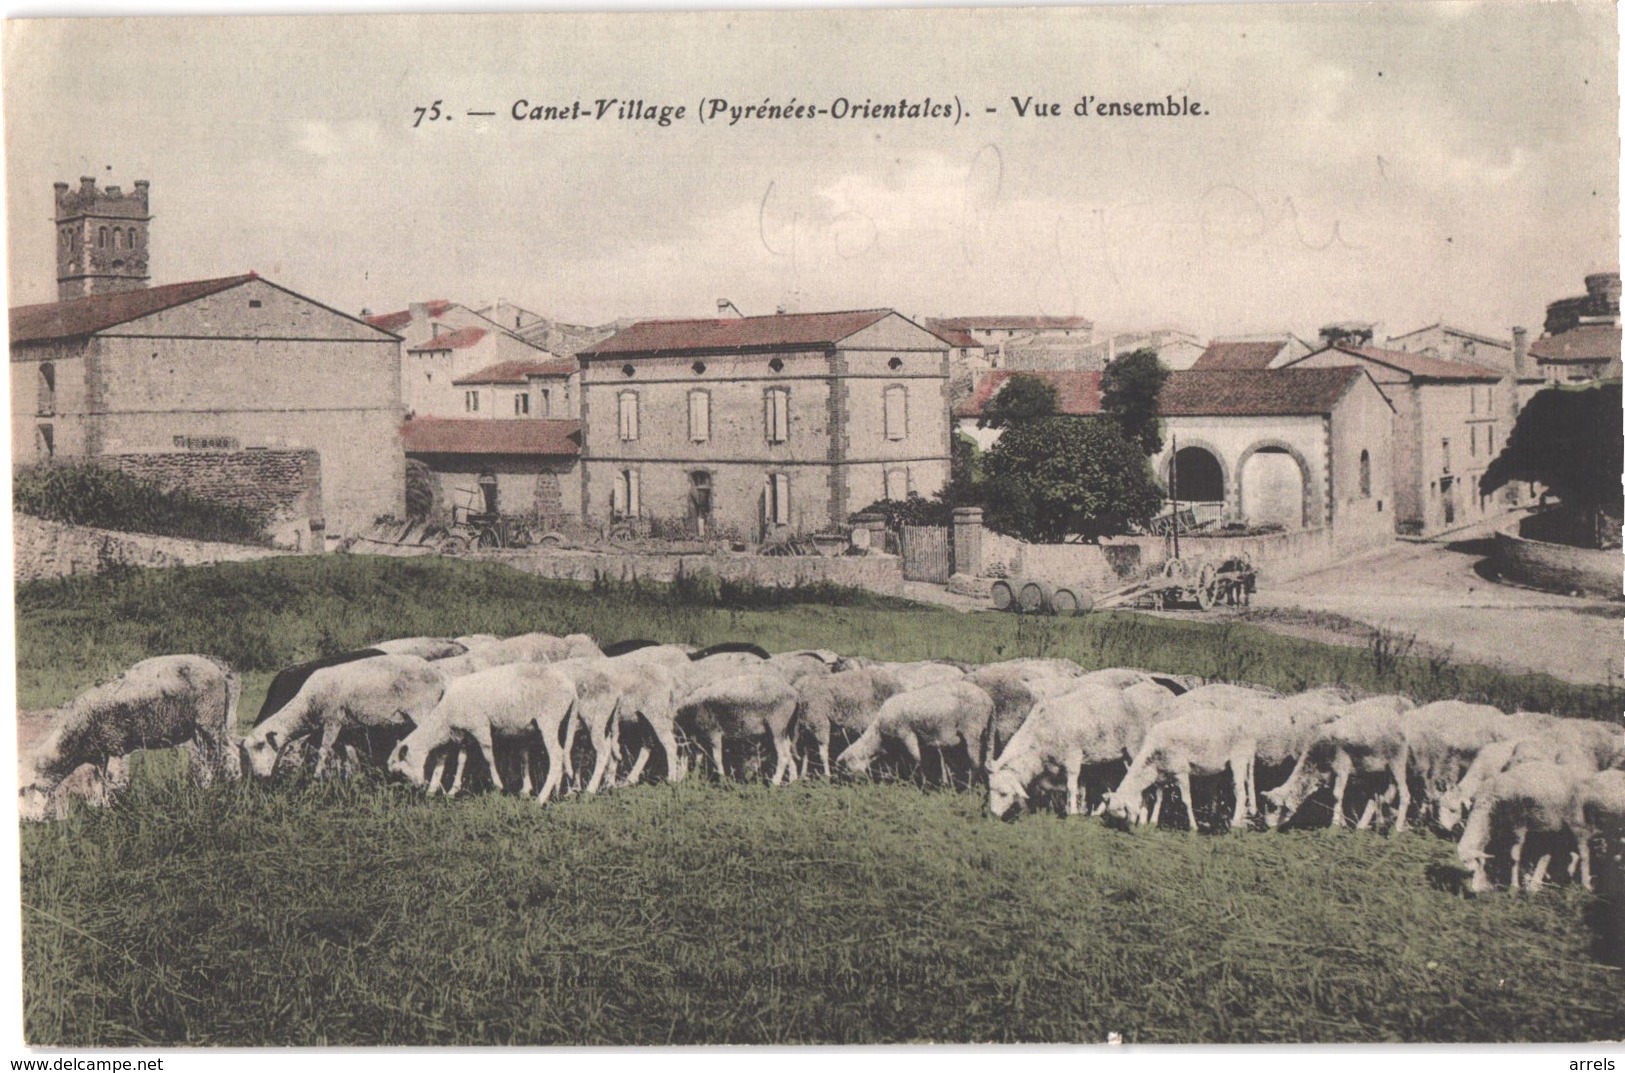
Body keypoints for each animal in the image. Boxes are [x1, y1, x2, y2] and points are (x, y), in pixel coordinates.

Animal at [388, 663, 578, 806]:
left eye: (401, 771)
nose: (419, 788)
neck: (445, 716)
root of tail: (571, 687)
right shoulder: (465, 734)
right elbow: (461, 760)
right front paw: (452, 790)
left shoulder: (480, 726)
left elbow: (488, 756)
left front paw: (499, 785)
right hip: (563, 721)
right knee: (562, 753)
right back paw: (555, 792)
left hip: (549, 718)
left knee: (556, 754)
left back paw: (541, 798)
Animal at [845, 679, 994, 786]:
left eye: (849, 764)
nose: (856, 783)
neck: (878, 734)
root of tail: (989, 700)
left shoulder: (906, 734)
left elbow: (917, 759)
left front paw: (922, 782)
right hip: (985, 731)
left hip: (972, 728)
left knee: (975, 762)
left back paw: (970, 785)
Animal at [1105, 708, 1254, 832]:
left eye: (1124, 810)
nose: (1129, 828)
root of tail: (1251, 733)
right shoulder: (1161, 775)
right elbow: (1159, 798)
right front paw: (1153, 822)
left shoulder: (1181, 771)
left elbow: (1186, 800)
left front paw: (1193, 827)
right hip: (1228, 767)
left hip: (1239, 760)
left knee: (1241, 793)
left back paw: (1235, 824)